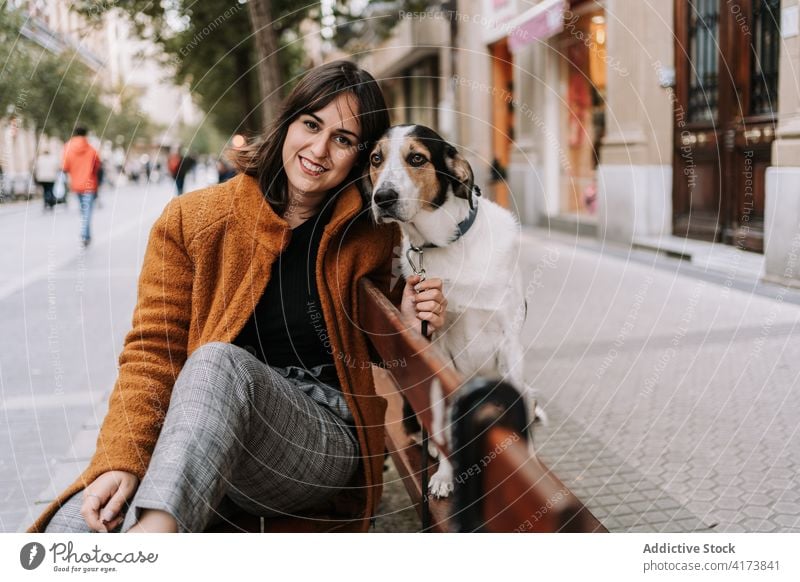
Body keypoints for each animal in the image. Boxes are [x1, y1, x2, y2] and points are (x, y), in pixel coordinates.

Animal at [364, 125, 544, 500]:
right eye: (375, 158)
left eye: (417, 158)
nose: (382, 197)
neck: (446, 245)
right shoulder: (436, 350)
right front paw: (445, 475)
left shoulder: (509, 345)